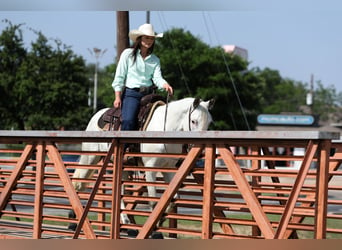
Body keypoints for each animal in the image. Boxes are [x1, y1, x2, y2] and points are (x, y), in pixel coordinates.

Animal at [69, 97, 214, 236]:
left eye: (209, 123)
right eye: (194, 121)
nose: (201, 152)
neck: (165, 129)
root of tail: (97, 115)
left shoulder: (169, 170)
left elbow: (173, 199)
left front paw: (160, 219)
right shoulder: (150, 169)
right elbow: (153, 200)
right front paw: (154, 230)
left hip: (122, 167)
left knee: (120, 193)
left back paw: (127, 225)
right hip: (91, 157)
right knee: (78, 183)